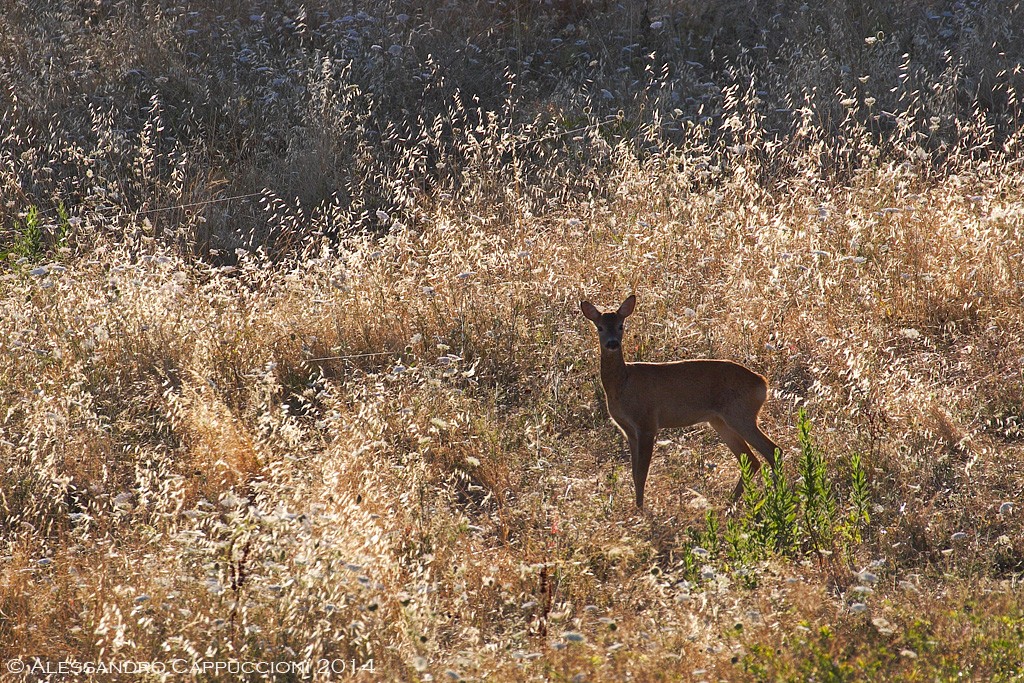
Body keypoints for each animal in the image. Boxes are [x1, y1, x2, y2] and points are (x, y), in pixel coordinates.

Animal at [581, 294, 778, 507]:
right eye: (600, 327)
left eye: (621, 325)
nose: (612, 343)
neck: (623, 383)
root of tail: (762, 383)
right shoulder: (628, 430)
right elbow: (634, 473)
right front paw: (637, 506)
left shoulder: (647, 423)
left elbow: (642, 473)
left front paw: (641, 510)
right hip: (719, 421)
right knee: (751, 459)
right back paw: (729, 503)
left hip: (741, 415)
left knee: (772, 450)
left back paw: (777, 496)